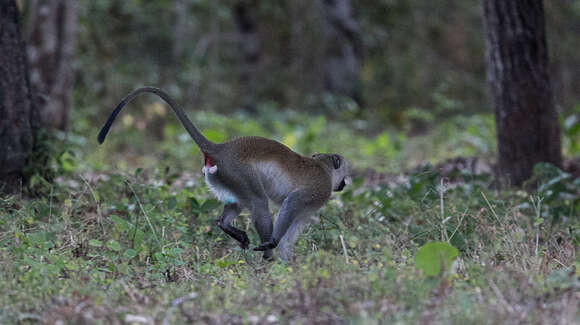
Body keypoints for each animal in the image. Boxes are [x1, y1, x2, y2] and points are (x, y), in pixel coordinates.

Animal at [97, 86, 348, 260]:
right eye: (345, 172)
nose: (345, 182)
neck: (324, 168)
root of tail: (221, 148)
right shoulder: (319, 190)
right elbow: (290, 204)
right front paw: (274, 246)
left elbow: (293, 230)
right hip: (238, 172)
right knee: (258, 201)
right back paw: (267, 255)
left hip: (225, 176)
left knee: (238, 203)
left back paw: (225, 226)